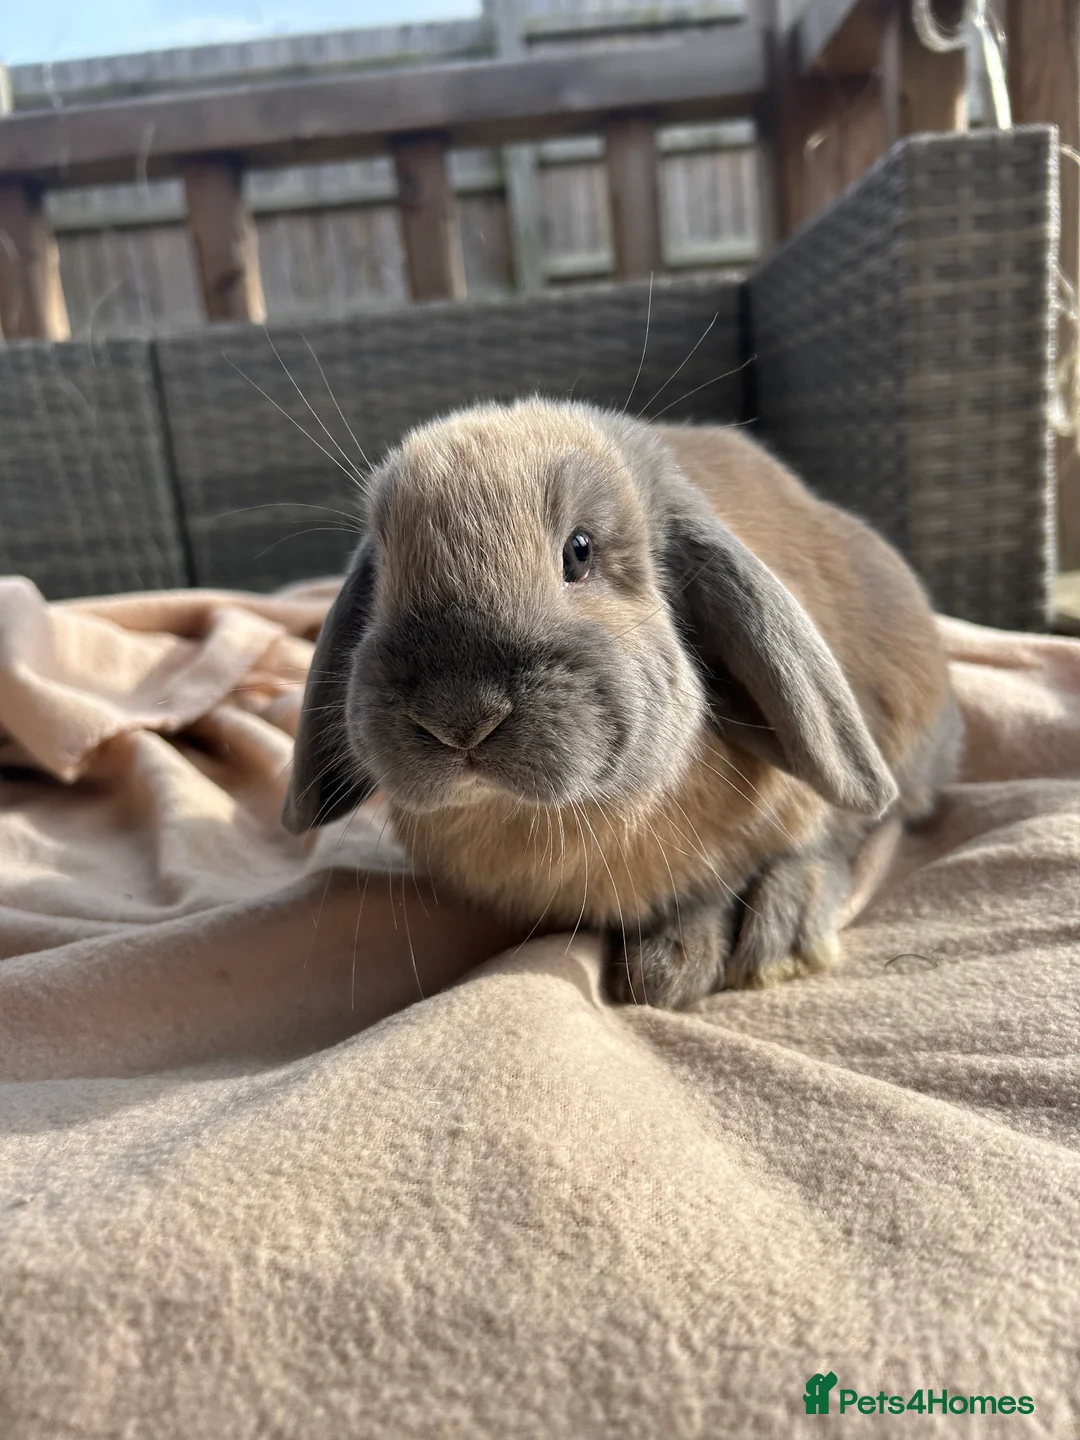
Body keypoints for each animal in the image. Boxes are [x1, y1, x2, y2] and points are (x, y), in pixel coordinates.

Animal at [284, 397, 960, 1008]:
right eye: (384, 570)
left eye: (579, 550)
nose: (459, 717)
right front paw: (674, 965)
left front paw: (670, 968)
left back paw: (782, 942)